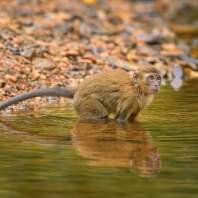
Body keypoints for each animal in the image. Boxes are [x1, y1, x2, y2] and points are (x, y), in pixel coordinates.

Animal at [0, 66, 161, 121]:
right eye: (151, 77)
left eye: (158, 78)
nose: (157, 84)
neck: (138, 88)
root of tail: (78, 89)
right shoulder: (130, 97)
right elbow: (119, 120)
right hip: (84, 102)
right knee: (100, 116)